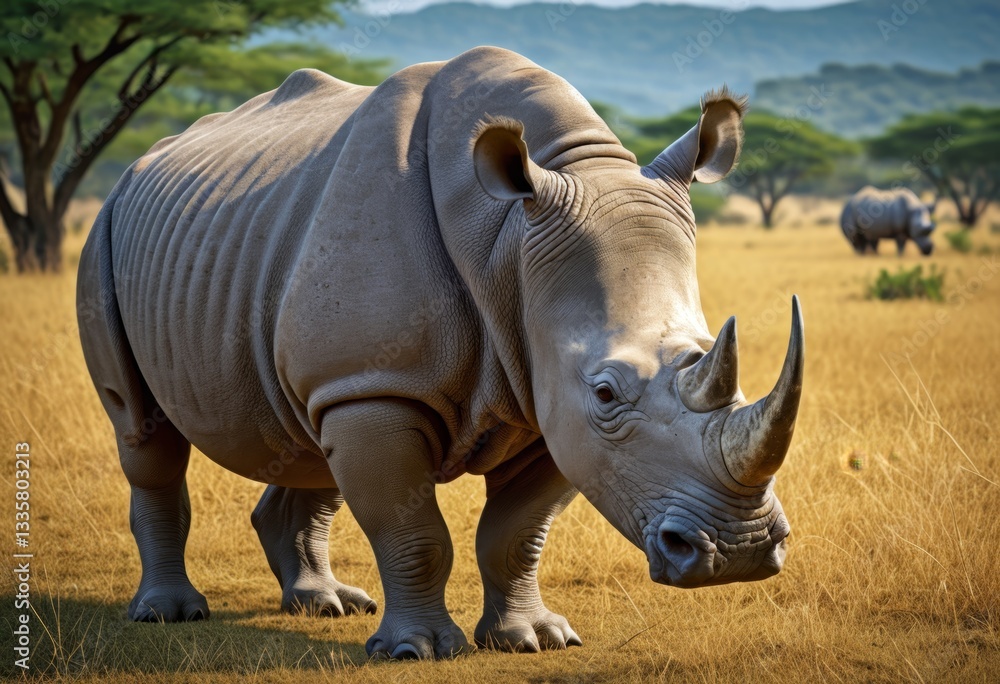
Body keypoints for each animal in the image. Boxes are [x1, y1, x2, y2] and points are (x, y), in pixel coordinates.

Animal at [77, 47, 804, 659]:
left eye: (711, 356)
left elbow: (516, 533)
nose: (738, 552)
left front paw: (532, 639)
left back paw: (326, 605)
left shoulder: (540, 400)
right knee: (143, 433)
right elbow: (414, 529)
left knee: (308, 435)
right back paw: (170, 613)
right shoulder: (383, 384)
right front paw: (419, 650)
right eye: (606, 392)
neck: (512, 238)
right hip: (104, 236)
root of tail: (143, 165)